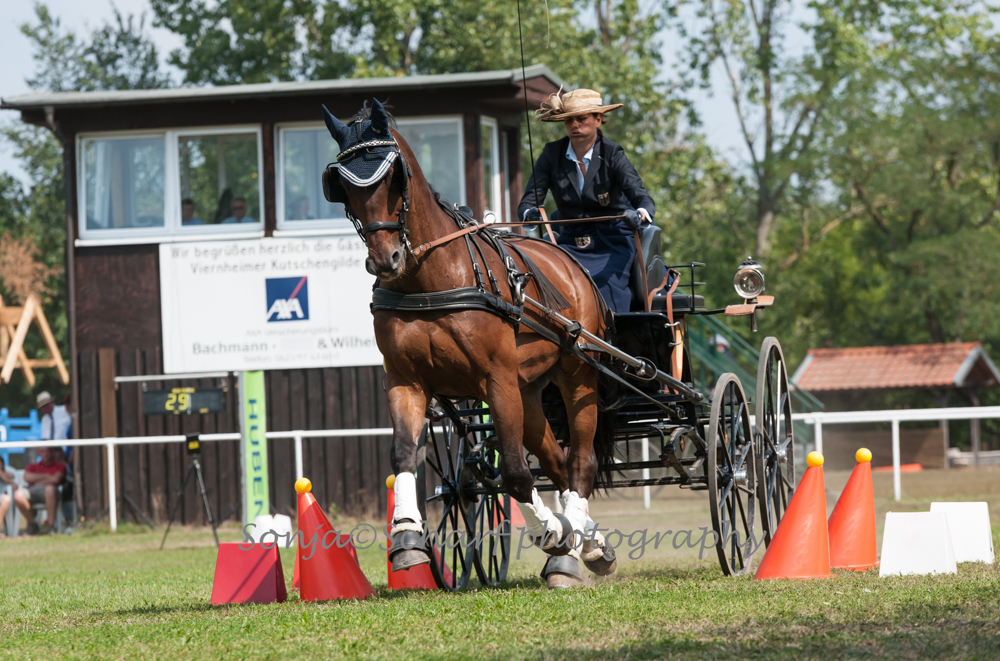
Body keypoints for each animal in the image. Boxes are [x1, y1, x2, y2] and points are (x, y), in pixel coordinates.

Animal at [320, 99, 616, 588]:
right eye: (340, 186)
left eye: (393, 176)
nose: (385, 260)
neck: (431, 278)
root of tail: (570, 262)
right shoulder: (405, 380)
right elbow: (403, 454)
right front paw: (407, 535)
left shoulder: (496, 381)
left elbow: (514, 472)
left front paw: (550, 534)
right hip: (529, 393)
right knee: (558, 461)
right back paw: (586, 542)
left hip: (578, 376)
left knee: (581, 463)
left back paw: (569, 551)